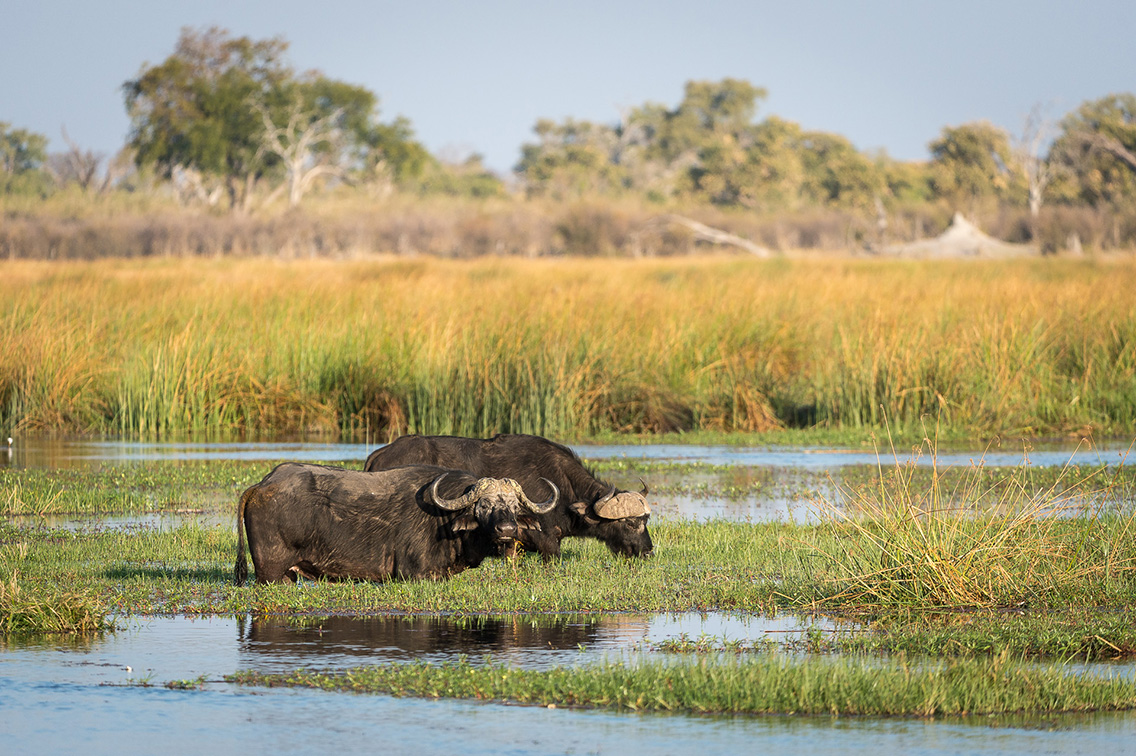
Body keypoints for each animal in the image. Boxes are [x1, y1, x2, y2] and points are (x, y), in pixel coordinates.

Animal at [234, 462, 558, 585]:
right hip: (270, 573)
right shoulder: (414, 575)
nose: (507, 531)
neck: (442, 521)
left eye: (514, 506)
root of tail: (262, 485)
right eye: (484, 506)